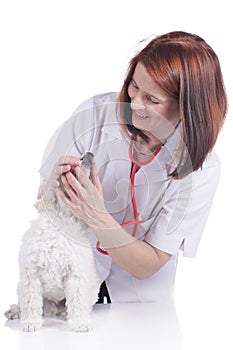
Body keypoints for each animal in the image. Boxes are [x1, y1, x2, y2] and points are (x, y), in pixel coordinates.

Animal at [4, 152, 100, 330]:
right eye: (71, 165)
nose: (88, 154)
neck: (62, 222)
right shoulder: (31, 273)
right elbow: (31, 300)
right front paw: (30, 322)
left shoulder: (76, 274)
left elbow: (78, 299)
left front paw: (80, 322)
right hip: (21, 287)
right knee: (25, 302)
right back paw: (15, 311)